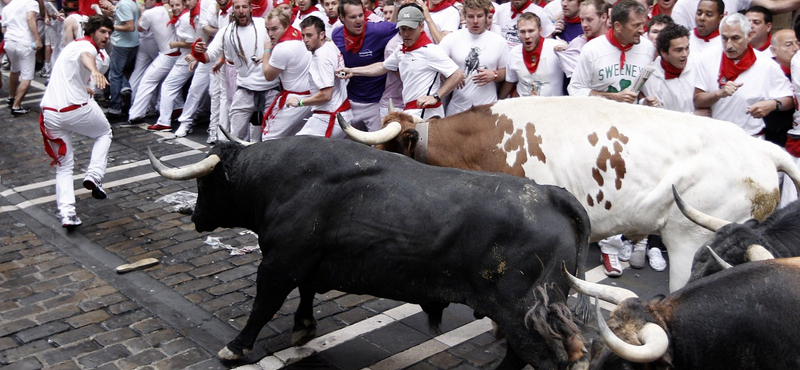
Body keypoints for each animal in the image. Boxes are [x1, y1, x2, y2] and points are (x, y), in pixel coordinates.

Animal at [147, 138, 592, 370]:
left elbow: (263, 306)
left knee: (540, 358)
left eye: (205, 184)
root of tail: (551, 195)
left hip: (522, 314)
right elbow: (306, 293)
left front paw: (237, 346)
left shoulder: (278, 264)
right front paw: (304, 327)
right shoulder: (307, 262)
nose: (194, 215)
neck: (278, 179)